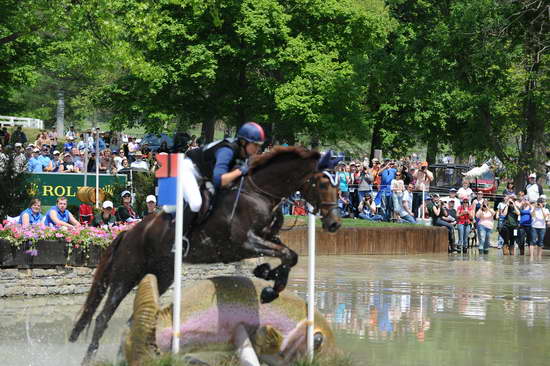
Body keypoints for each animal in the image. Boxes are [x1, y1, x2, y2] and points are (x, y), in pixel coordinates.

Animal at [70, 147, 340, 364]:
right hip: (125, 275)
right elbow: (287, 255)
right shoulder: (245, 242)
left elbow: (289, 256)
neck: (260, 193)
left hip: (162, 274)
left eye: (338, 186)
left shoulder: (267, 239)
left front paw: (267, 279)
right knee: (102, 317)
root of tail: (129, 232)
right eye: (323, 184)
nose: (334, 224)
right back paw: (88, 358)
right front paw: (268, 288)